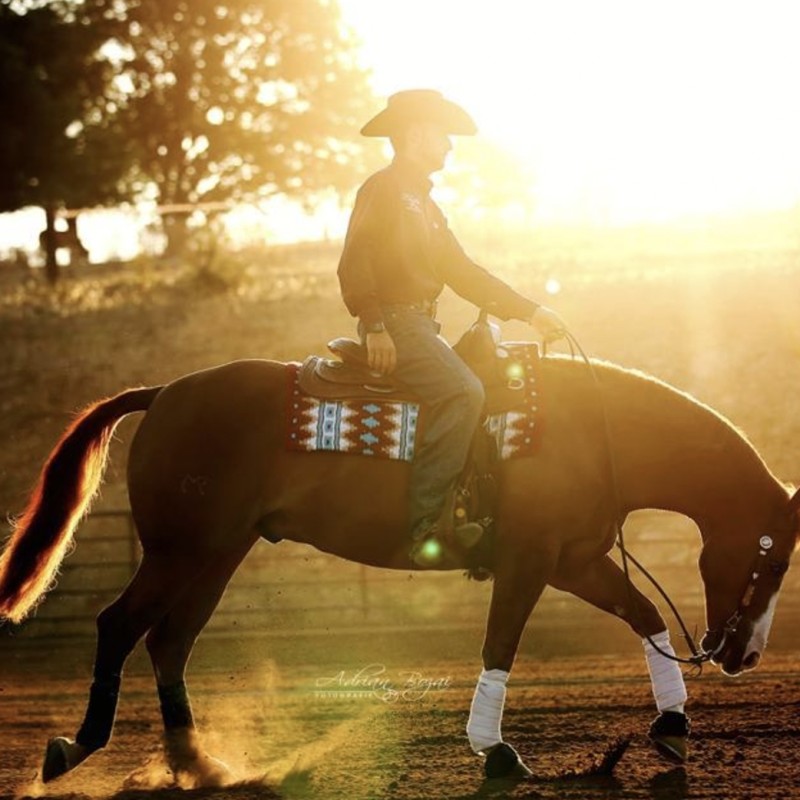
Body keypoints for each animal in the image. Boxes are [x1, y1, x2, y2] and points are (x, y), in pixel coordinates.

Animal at [0, 324, 796, 788]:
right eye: (775, 558)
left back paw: (198, 764)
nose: (746, 656)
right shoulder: (530, 560)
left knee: (170, 641)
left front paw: (672, 726)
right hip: (181, 549)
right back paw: (75, 749)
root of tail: (165, 390)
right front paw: (495, 750)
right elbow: (501, 643)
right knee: (119, 624)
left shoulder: (575, 559)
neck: (590, 429)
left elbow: (644, 616)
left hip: (217, 553)